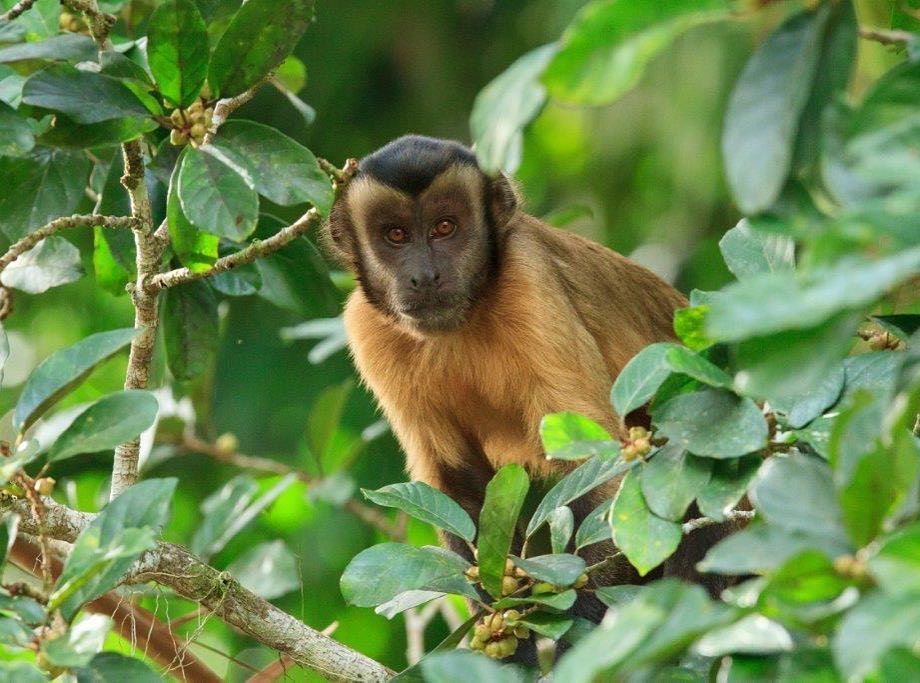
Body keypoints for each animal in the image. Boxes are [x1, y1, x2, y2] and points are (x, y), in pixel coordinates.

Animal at [325, 135, 740, 631]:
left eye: (445, 228)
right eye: (396, 235)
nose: (424, 276)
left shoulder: (530, 281)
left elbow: (593, 466)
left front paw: (572, 635)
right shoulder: (367, 328)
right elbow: (456, 484)